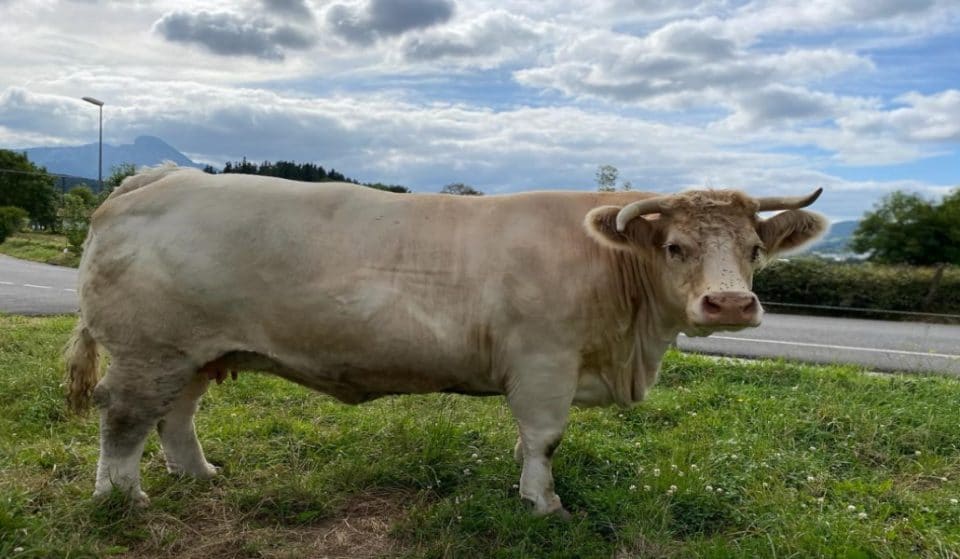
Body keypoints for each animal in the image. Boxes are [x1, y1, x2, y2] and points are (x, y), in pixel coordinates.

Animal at [64, 164, 827, 515]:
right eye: (674, 246)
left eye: (756, 248)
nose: (730, 303)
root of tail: (160, 175)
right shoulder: (544, 362)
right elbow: (546, 438)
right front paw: (543, 503)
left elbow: (529, 441)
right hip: (148, 351)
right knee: (124, 417)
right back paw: (121, 498)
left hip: (194, 351)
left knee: (177, 415)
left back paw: (198, 473)